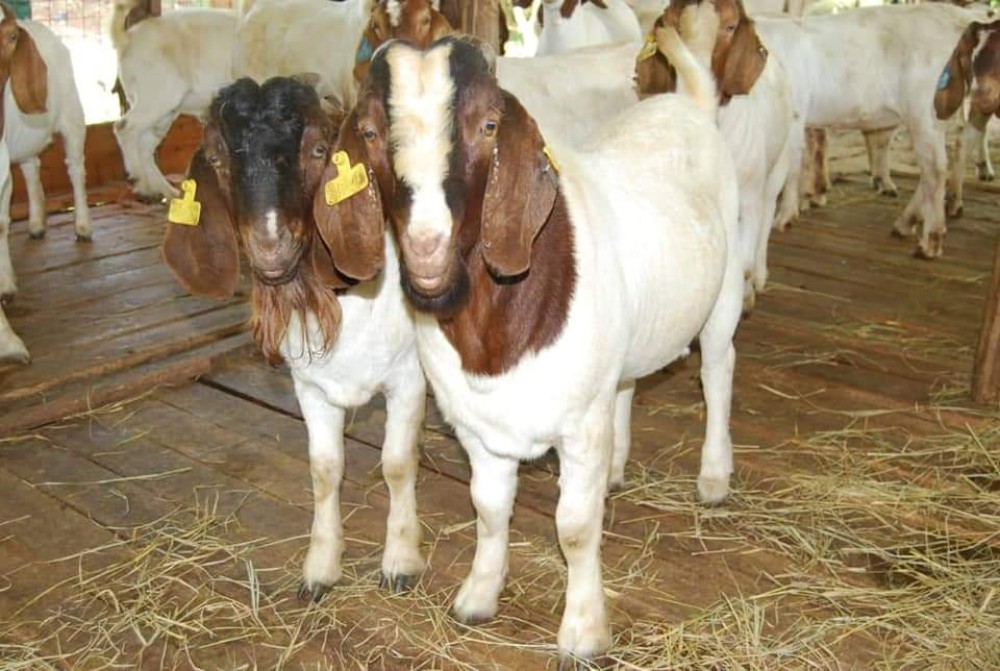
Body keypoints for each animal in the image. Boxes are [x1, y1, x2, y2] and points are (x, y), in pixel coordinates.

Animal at [0, 4, 91, 301]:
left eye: (12, 37)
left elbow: (1, 224)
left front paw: (6, 284)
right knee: (31, 166)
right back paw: (37, 223)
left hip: (73, 115)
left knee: (75, 169)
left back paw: (83, 226)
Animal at [110, 0, 237, 201]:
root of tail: (127, 39)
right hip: (157, 97)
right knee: (124, 128)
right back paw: (140, 180)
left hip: (163, 112)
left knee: (144, 146)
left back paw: (165, 191)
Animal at [161, 76, 426, 598]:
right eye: (217, 159)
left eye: (320, 149)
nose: (270, 245)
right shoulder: (310, 387)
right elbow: (324, 469)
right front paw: (320, 567)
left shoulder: (408, 377)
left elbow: (397, 463)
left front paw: (401, 561)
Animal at [314, 36, 743, 662]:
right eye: (368, 131)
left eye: (489, 124)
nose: (426, 248)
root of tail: (688, 104)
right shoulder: (477, 425)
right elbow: (489, 508)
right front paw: (478, 596)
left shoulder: (580, 426)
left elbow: (576, 526)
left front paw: (584, 633)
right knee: (629, 382)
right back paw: (619, 468)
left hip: (726, 285)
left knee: (717, 370)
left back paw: (713, 478)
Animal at [635, 0, 794, 311]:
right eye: (670, 22)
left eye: (731, 26)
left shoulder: (749, 198)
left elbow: (742, 260)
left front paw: (744, 295)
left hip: (778, 166)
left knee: (768, 213)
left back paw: (759, 277)